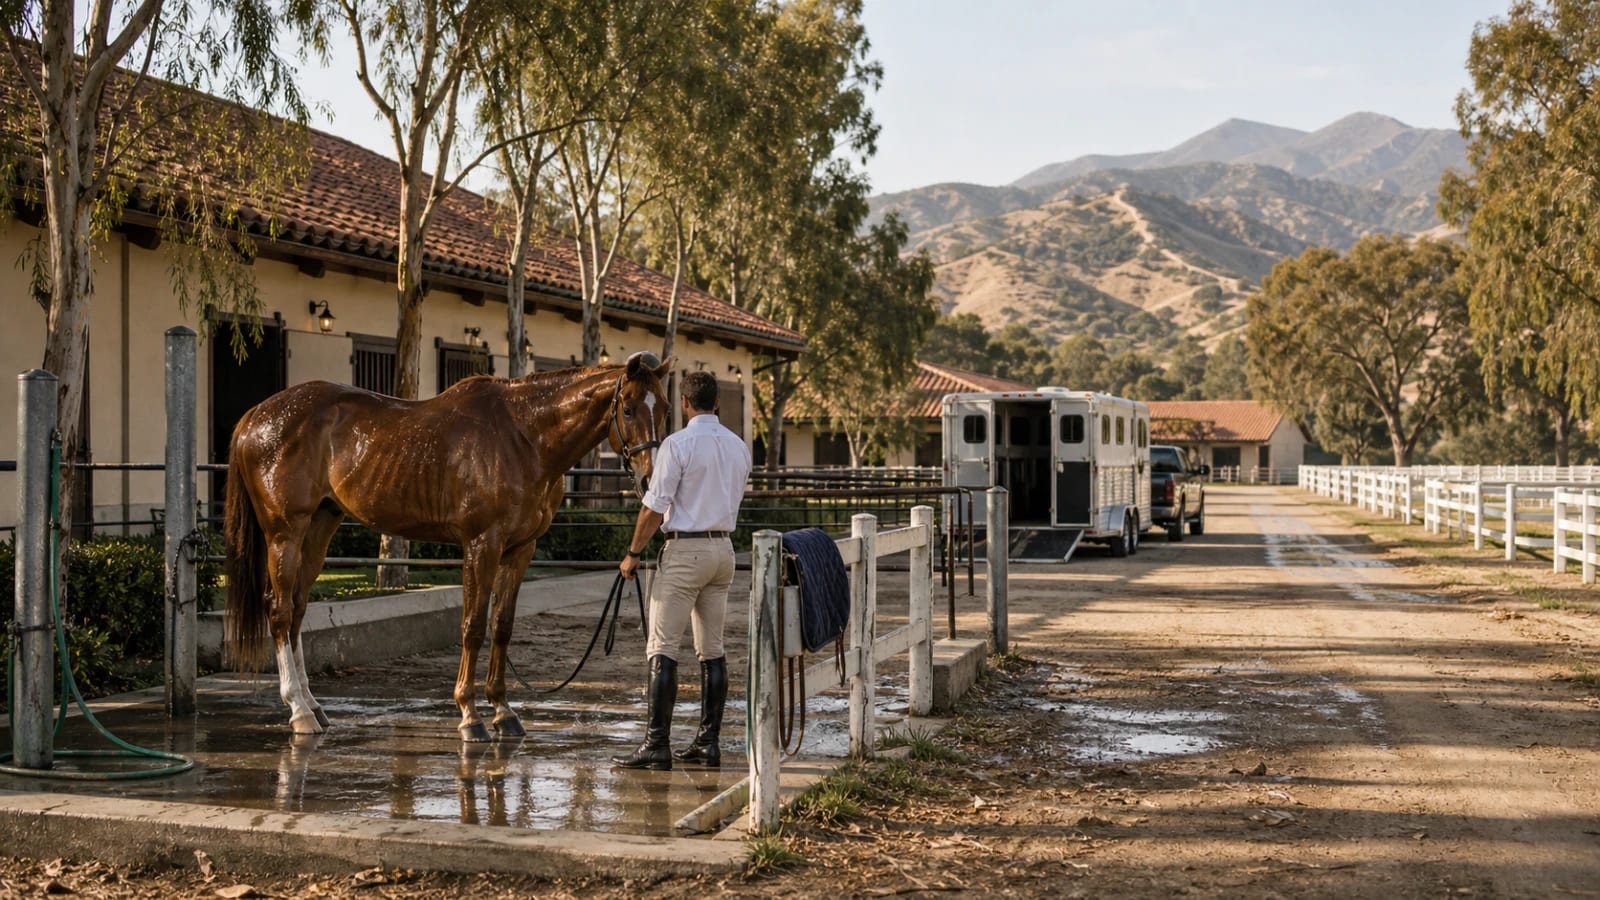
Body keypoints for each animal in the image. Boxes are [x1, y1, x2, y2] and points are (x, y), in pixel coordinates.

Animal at [224, 351, 672, 742]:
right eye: (628, 409)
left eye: (666, 408)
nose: (651, 481)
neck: (524, 437)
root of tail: (254, 417)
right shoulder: (481, 544)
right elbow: (472, 626)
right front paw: (470, 716)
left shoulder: (520, 550)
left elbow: (502, 625)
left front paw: (504, 712)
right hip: (285, 533)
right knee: (280, 610)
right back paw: (299, 711)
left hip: (320, 525)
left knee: (298, 608)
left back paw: (314, 706)